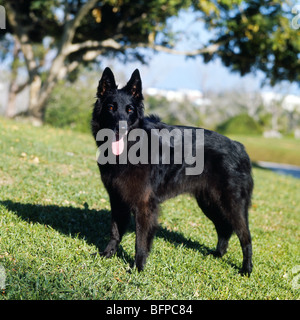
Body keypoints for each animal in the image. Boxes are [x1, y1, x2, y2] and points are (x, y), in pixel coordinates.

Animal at [91, 67, 253, 276]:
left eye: (129, 110)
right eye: (111, 107)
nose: (121, 128)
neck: (131, 148)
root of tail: (240, 147)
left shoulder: (144, 205)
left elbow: (140, 241)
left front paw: (138, 267)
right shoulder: (117, 199)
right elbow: (115, 231)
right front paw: (107, 254)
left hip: (231, 206)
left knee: (245, 237)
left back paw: (246, 269)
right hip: (210, 203)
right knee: (224, 228)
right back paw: (218, 254)